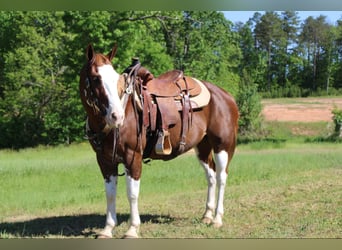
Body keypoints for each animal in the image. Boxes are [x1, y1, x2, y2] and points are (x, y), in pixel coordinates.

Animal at [79, 44, 239, 238]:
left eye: (117, 79)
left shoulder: (133, 157)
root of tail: (227, 96)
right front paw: (108, 229)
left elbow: (132, 194)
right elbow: (110, 194)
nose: (117, 116)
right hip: (203, 147)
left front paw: (132, 229)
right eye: (96, 78)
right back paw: (207, 215)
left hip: (223, 146)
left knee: (221, 177)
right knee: (211, 176)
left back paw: (217, 219)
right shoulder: (105, 161)